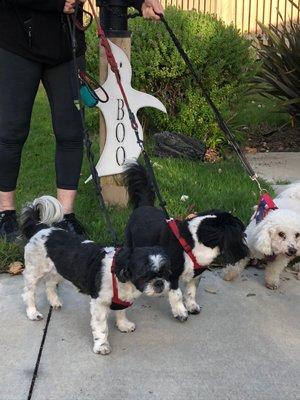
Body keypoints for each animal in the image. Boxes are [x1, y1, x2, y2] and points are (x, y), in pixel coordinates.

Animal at [21, 195, 171, 354]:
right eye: (144, 275)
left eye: (166, 272)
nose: (159, 282)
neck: (118, 273)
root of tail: (41, 229)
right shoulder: (99, 304)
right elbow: (101, 328)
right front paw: (102, 345)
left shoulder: (122, 299)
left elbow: (121, 312)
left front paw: (123, 325)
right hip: (34, 271)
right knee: (28, 293)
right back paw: (32, 313)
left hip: (59, 269)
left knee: (49, 284)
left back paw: (54, 302)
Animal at [124, 162, 248, 322]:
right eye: (241, 232)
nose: (246, 251)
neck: (193, 241)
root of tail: (143, 206)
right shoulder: (172, 275)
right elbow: (177, 295)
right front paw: (180, 312)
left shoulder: (196, 275)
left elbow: (191, 292)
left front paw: (191, 306)